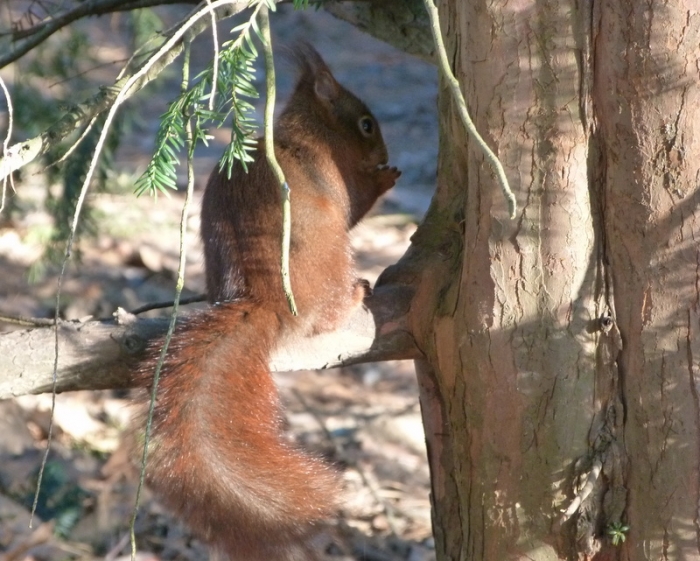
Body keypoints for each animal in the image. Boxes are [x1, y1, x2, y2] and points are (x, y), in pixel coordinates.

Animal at [133, 43, 401, 561]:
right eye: (366, 124)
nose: (385, 154)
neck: (307, 134)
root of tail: (265, 301)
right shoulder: (342, 184)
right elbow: (360, 202)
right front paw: (385, 179)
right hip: (330, 252)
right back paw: (356, 294)